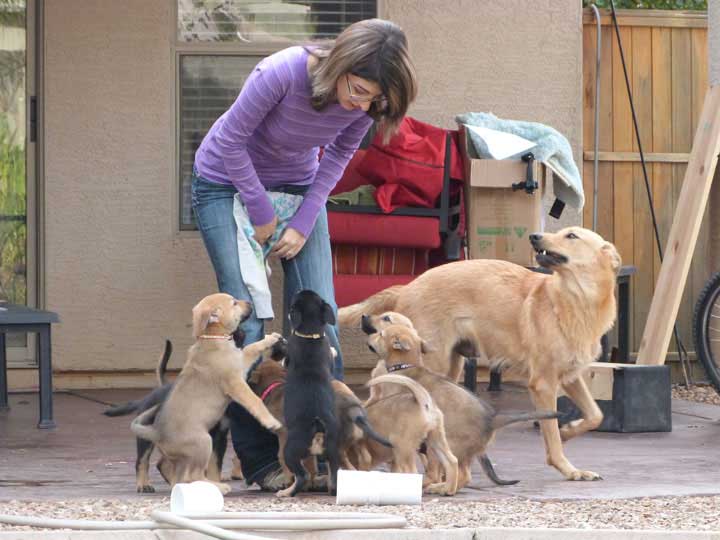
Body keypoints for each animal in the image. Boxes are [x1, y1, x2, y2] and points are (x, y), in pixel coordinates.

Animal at [132, 294, 284, 496]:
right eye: (234, 303)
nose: (250, 303)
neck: (212, 338)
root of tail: (157, 433)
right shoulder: (236, 382)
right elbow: (255, 401)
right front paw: (271, 421)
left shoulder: (240, 362)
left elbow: (251, 347)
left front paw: (269, 338)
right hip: (204, 442)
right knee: (192, 475)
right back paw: (218, 486)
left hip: (185, 457)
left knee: (180, 478)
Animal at [278, 292, 340, 498]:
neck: (310, 334)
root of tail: (318, 424)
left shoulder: (289, 355)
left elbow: (283, 360)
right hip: (334, 452)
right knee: (334, 477)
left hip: (290, 451)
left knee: (302, 476)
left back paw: (286, 493)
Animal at [340, 226, 620, 478]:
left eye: (571, 235)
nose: (534, 236)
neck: (577, 300)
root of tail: (407, 286)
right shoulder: (543, 383)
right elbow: (551, 436)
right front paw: (568, 468)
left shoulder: (570, 377)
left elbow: (595, 415)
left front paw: (568, 431)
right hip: (431, 365)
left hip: (450, 369)